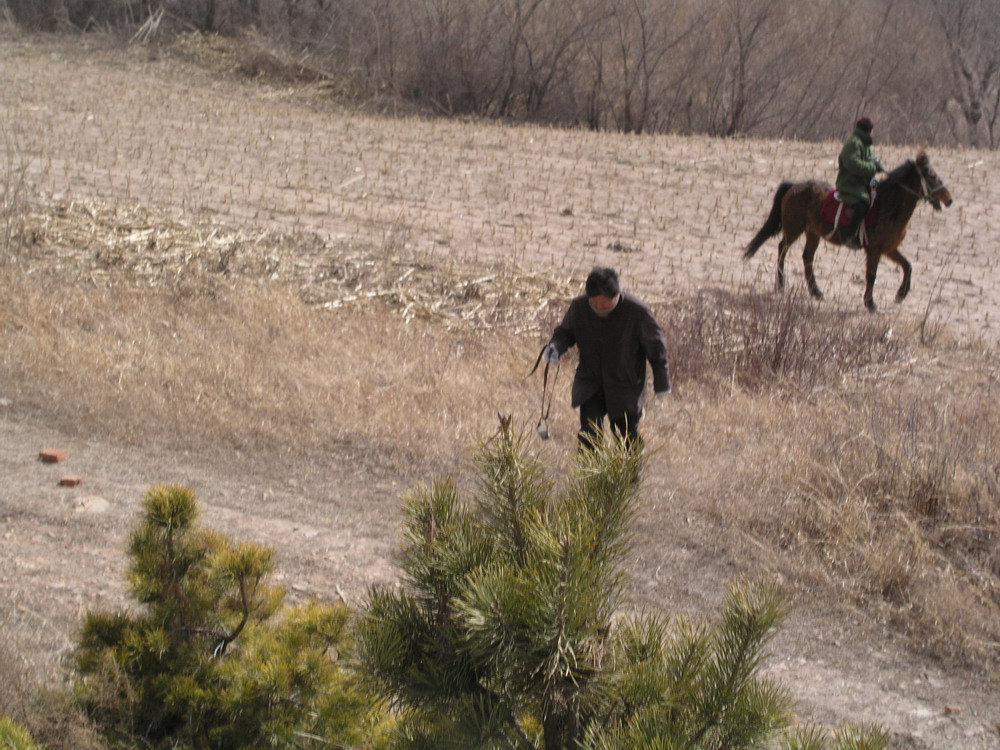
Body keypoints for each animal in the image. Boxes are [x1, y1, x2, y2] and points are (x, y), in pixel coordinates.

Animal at [744, 153, 952, 312]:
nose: (949, 199)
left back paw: (816, 292)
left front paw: (900, 295)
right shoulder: (875, 250)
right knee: (782, 249)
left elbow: (908, 266)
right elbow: (872, 275)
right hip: (794, 229)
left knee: (807, 257)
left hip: (813, 233)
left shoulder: (889, 249)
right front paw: (870, 304)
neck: (888, 206)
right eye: (931, 177)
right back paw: (781, 285)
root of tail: (795, 186)